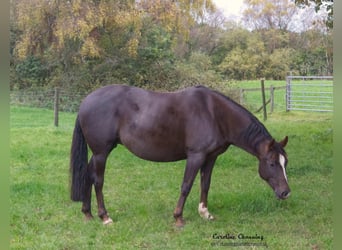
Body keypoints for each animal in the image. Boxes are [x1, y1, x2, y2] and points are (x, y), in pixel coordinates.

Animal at [71, 84, 290, 227]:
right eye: (271, 163)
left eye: (285, 162)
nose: (285, 192)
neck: (214, 114)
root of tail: (85, 102)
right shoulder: (195, 156)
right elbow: (186, 186)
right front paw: (178, 217)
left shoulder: (210, 157)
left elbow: (205, 184)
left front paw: (205, 213)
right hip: (101, 152)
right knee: (98, 181)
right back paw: (104, 216)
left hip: (98, 153)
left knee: (88, 175)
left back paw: (87, 214)